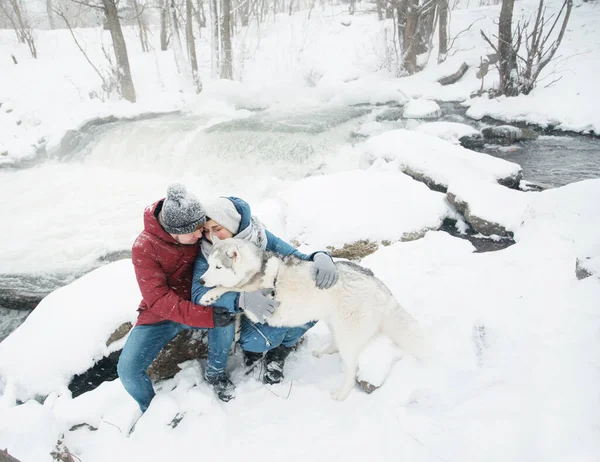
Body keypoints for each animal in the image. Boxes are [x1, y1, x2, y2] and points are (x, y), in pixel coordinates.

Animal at [199, 238, 424, 400]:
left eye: (218, 267)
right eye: (208, 264)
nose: (200, 280)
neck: (255, 270)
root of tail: (380, 285)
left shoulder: (257, 299)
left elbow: (231, 289)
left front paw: (209, 295)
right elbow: (235, 300)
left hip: (347, 335)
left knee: (352, 370)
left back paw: (342, 394)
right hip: (336, 325)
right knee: (336, 345)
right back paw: (323, 352)